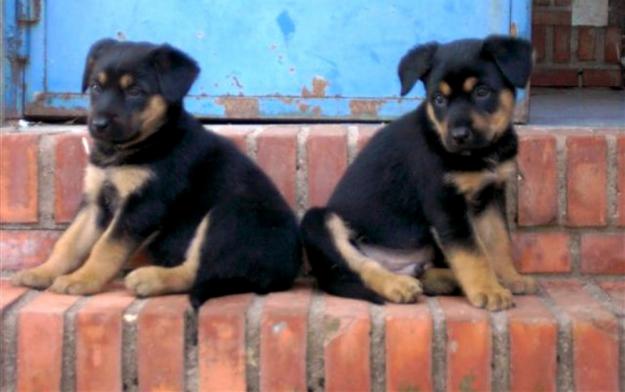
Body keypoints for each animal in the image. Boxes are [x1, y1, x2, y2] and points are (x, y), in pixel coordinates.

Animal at [11, 40, 300, 310]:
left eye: (135, 91)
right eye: (95, 87)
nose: (97, 125)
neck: (140, 145)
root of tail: (286, 271)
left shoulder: (143, 204)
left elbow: (106, 247)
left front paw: (82, 280)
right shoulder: (95, 202)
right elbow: (68, 242)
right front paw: (43, 272)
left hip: (229, 213)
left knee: (198, 271)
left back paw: (149, 278)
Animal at [302, 35, 536, 310]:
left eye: (482, 92)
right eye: (438, 99)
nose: (458, 136)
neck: (481, 154)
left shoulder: (491, 194)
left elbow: (498, 242)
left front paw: (510, 278)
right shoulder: (445, 204)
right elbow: (472, 252)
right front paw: (489, 290)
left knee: (423, 273)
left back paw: (447, 280)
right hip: (319, 221)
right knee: (362, 265)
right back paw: (397, 285)